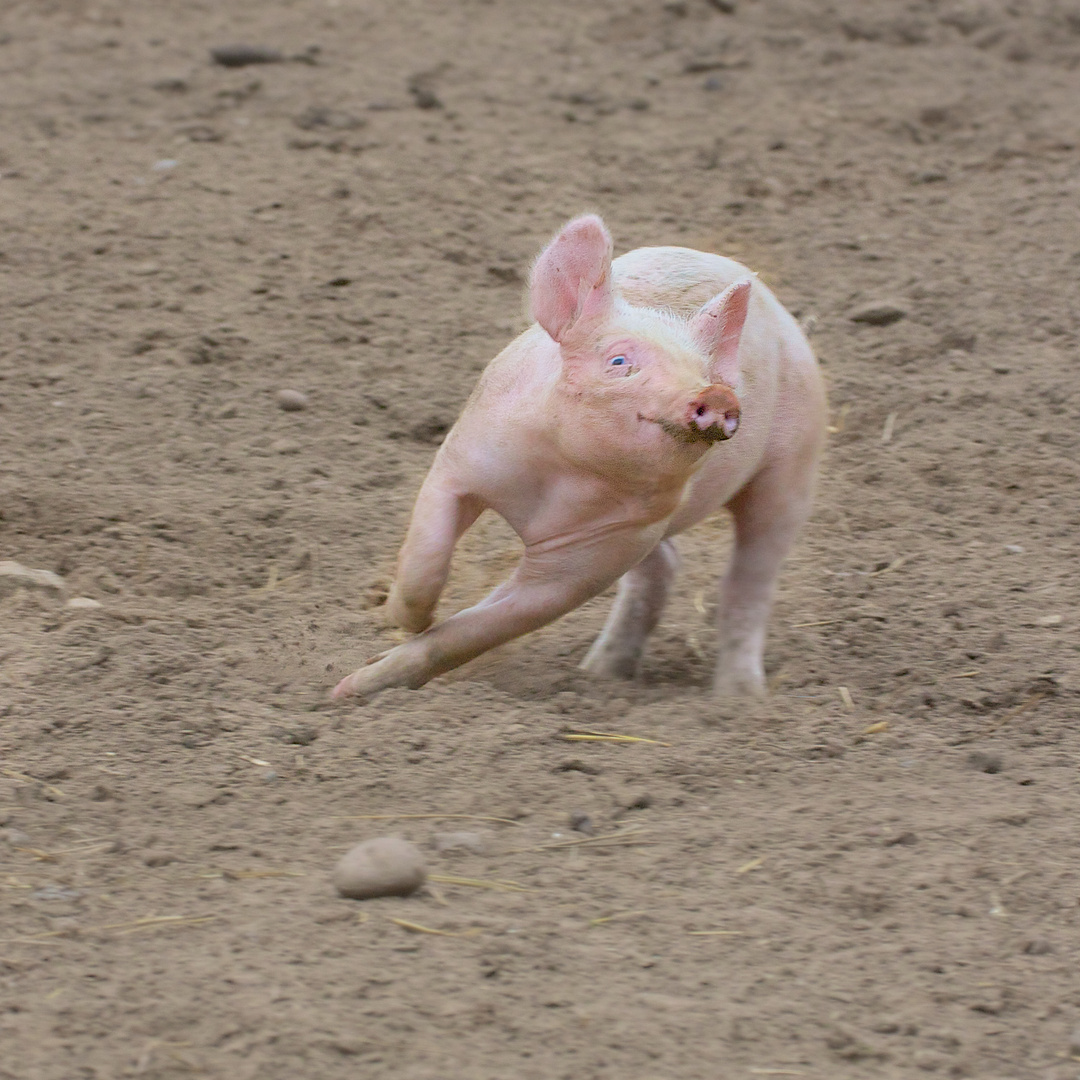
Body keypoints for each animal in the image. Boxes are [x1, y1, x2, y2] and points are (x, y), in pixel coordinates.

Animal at [334, 216, 825, 704]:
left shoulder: (600, 551)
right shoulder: (461, 458)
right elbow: (427, 556)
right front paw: (399, 623)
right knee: (664, 567)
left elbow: (478, 629)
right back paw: (599, 675)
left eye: (703, 374)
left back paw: (737, 700)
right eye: (619, 360)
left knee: (748, 580)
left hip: (793, 465)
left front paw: (349, 688)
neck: (559, 480)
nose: (717, 394)